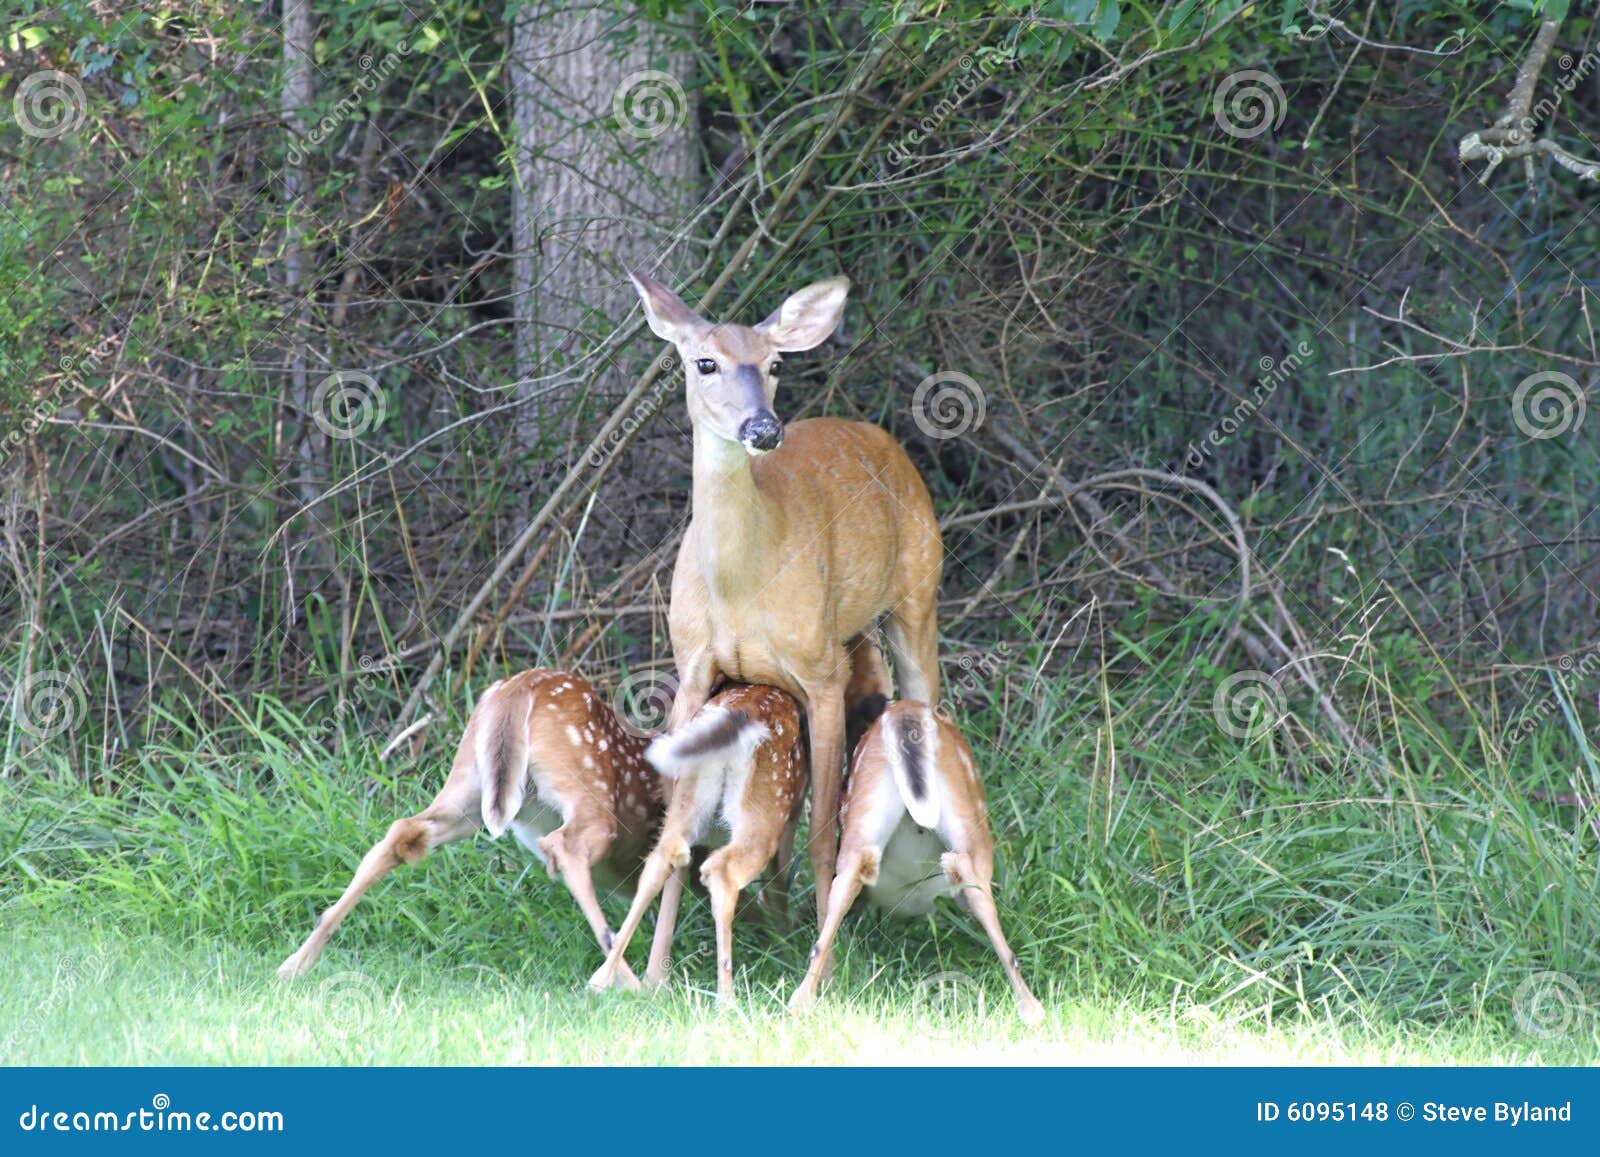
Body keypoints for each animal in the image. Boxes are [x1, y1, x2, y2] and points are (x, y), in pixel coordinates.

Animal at [276, 669, 672, 986]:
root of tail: (523, 685)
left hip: (468, 782)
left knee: (405, 831)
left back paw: (296, 962)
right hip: (587, 790)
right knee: (566, 846)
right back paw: (621, 979)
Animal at [628, 270, 943, 926]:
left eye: (774, 363)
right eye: (705, 362)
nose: (763, 428)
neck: (739, 588)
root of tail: (882, 438)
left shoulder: (819, 670)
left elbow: (823, 830)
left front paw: (828, 942)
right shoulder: (692, 667)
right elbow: (678, 826)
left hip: (916, 595)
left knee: (925, 710)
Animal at [787, 698, 1045, 1026]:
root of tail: (907, 710)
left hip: (867, 813)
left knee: (847, 883)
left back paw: (801, 1001)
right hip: (970, 818)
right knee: (970, 878)